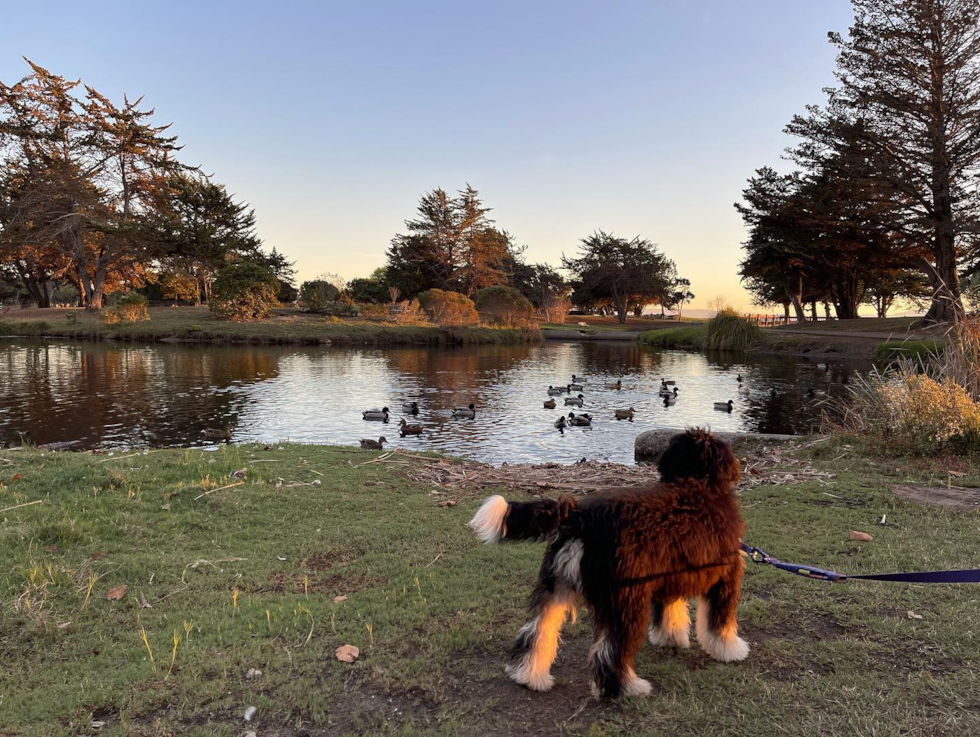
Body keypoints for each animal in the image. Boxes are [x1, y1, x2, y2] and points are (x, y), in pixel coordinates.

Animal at [470, 426, 748, 696]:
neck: (698, 483)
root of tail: (579, 516)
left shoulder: (670, 576)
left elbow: (670, 612)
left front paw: (670, 638)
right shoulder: (726, 576)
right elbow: (720, 621)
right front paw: (730, 650)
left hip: (555, 587)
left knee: (536, 633)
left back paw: (529, 676)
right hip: (626, 599)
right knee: (610, 651)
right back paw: (626, 688)